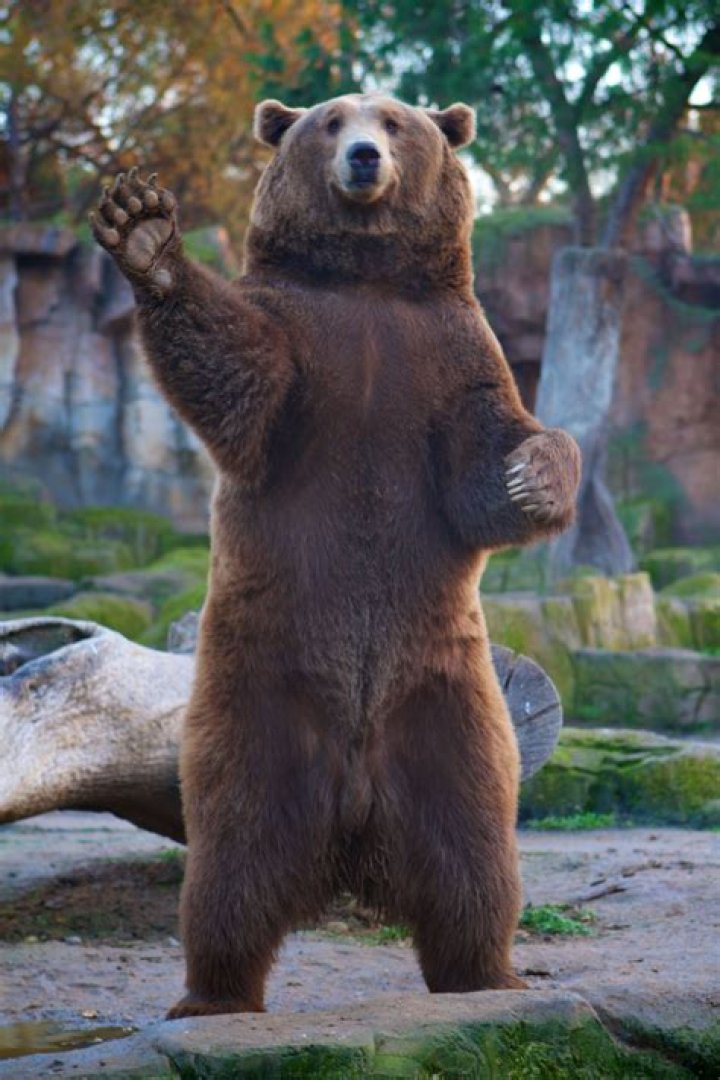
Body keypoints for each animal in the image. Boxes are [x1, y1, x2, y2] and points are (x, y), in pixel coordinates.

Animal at [91, 92, 581, 1019]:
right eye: (330, 121)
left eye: (394, 123)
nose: (361, 158)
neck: (367, 282)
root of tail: (352, 834)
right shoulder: (303, 340)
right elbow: (242, 383)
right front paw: (142, 228)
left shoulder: (450, 351)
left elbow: (484, 460)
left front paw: (536, 474)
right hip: (260, 694)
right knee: (233, 856)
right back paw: (212, 994)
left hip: (446, 701)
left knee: (474, 845)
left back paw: (485, 974)